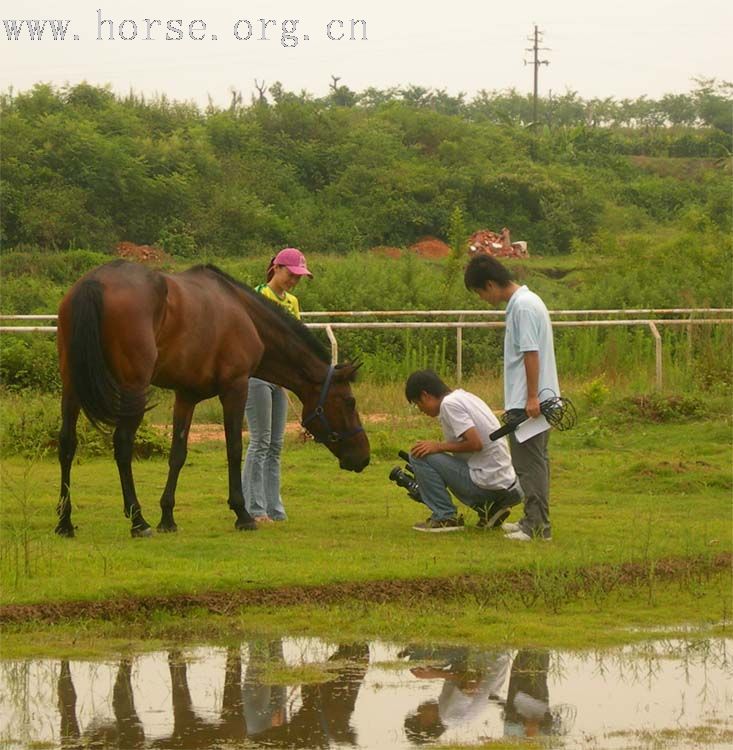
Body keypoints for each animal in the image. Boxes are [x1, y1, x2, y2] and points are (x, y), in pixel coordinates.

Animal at [55, 262, 372, 536]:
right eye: (350, 402)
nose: (364, 457)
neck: (246, 316)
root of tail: (94, 282)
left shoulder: (186, 396)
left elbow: (178, 454)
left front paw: (168, 518)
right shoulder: (235, 388)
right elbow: (234, 448)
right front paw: (243, 515)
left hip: (72, 387)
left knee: (67, 444)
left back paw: (65, 522)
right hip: (132, 388)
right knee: (122, 446)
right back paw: (138, 522)